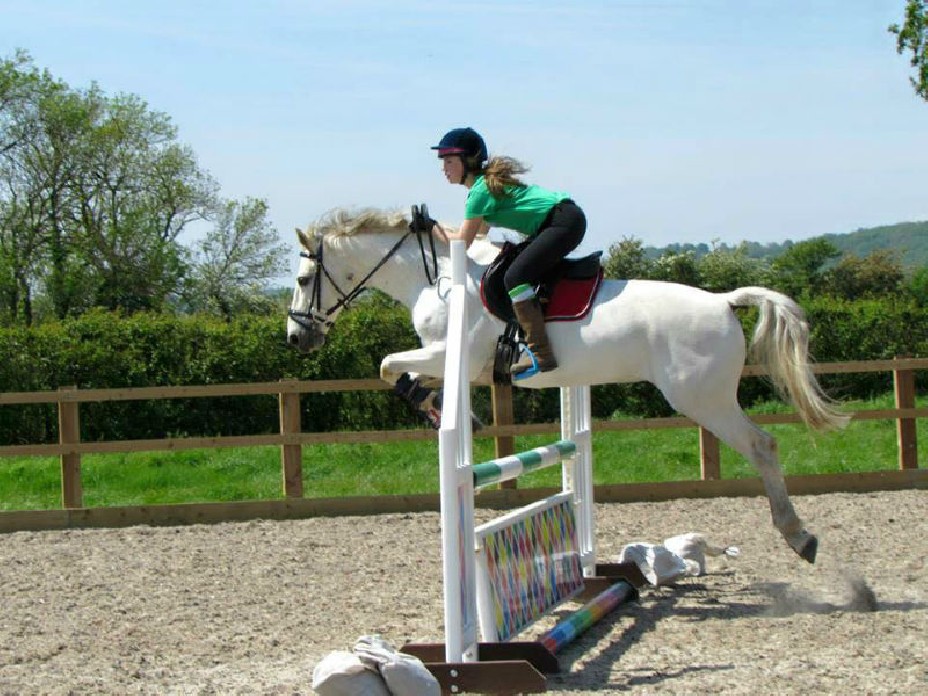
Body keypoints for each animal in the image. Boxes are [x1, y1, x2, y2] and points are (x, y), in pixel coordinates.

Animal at [288, 205, 848, 560]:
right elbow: (397, 371)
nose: (297, 338)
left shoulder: (453, 355)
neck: (436, 277)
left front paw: (447, 412)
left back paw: (799, 537)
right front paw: (442, 408)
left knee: (762, 446)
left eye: (301, 280)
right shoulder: (448, 360)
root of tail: (722, 299)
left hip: (702, 399)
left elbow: (388, 366)